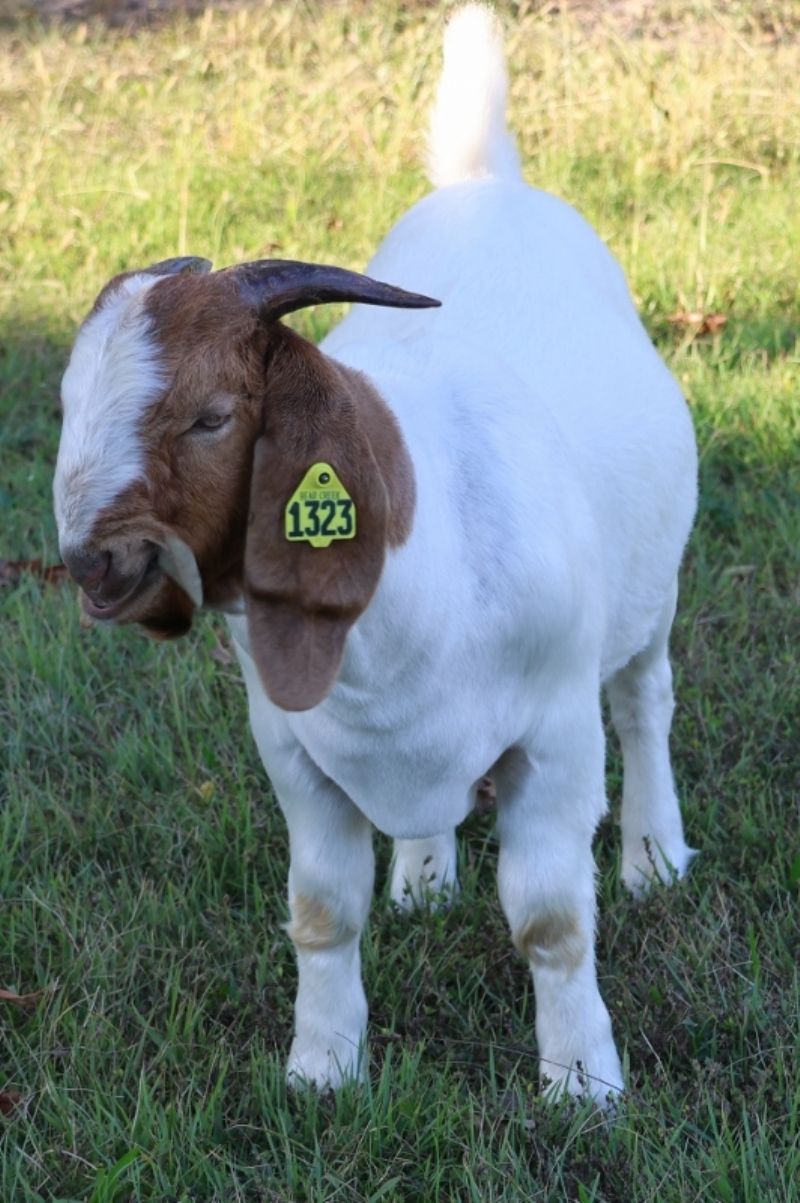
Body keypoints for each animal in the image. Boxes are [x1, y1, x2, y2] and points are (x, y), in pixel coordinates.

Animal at [52, 7, 697, 1101]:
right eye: (66, 404)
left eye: (212, 415)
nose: (94, 563)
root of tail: (486, 180)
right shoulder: (294, 753)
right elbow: (321, 909)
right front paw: (322, 1067)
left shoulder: (556, 740)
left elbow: (551, 919)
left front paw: (580, 1081)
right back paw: (425, 874)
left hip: (649, 594)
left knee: (645, 700)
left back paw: (655, 854)